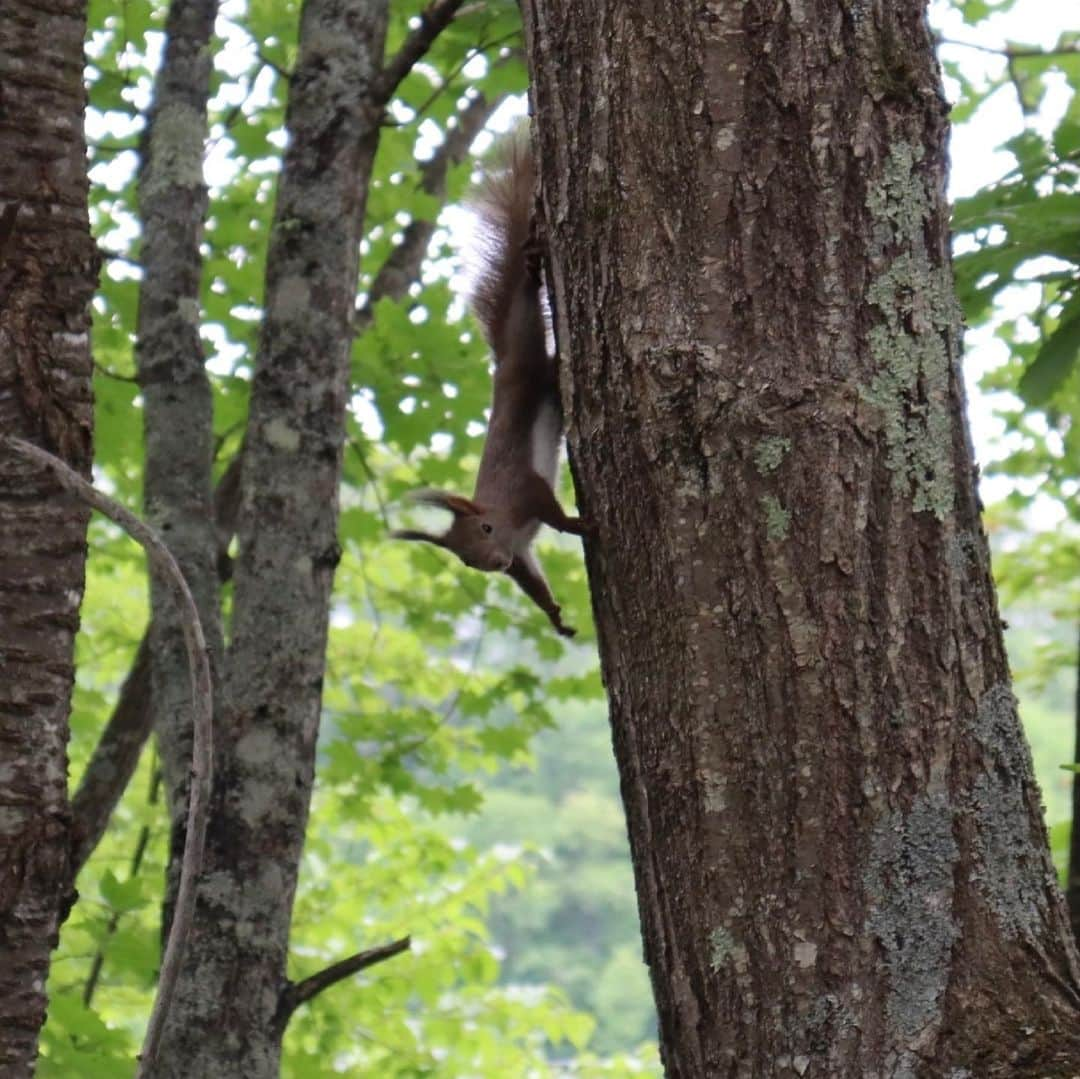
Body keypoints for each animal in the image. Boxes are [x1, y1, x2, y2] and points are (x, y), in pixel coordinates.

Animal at [393, 138, 587, 635]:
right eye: (465, 560)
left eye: (483, 530)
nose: (494, 563)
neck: (501, 518)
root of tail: (504, 362)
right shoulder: (520, 555)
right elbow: (533, 583)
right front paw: (557, 618)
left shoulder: (524, 490)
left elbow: (551, 511)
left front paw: (581, 527)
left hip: (536, 374)